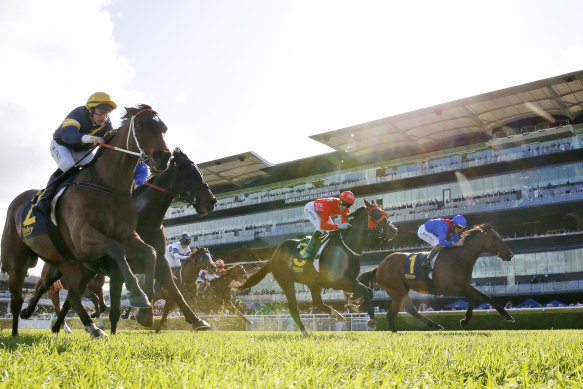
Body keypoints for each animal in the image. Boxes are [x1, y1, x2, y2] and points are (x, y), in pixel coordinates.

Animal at [2, 105, 170, 336]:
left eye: (164, 128)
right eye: (143, 124)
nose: (163, 157)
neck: (108, 186)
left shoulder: (127, 237)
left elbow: (150, 252)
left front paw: (145, 308)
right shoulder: (83, 239)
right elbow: (116, 249)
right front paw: (136, 292)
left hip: (67, 263)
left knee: (66, 293)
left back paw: (90, 327)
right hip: (16, 262)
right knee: (18, 299)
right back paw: (16, 332)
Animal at [24, 148, 218, 334]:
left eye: (199, 171)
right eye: (188, 172)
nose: (211, 200)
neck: (146, 219)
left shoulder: (161, 262)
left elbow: (175, 292)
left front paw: (197, 321)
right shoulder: (116, 266)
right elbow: (118, 304)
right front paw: (139, 315)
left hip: (87, 272)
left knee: (70, 299)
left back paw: (60, 326)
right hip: (60, 269)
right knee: (44, 286)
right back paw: (28, 311)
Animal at [240, 200, 400, 334]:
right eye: (376, 213)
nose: (394, 230)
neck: (345, 248)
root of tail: (274, 256)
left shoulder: (350, 280)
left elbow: (368, 291)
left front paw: (361, 307)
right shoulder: (338, 281)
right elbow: (364, 290)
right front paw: (371, 319)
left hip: (313, 283)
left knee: (317, 302)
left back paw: (338, 315)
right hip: (286, 281)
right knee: (294, 307)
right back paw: (305, 331)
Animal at [360, 223, 516, 332]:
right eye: (496, 237)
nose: (510, 254)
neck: (459, 257)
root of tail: (379, 266)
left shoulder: (465, 285)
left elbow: (486, 297)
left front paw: (508, 316)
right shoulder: (448, 289)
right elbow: (474, 299)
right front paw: (465, 320)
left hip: (399, 290)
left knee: (404, 311)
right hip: (397, 289)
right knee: (400, 312)